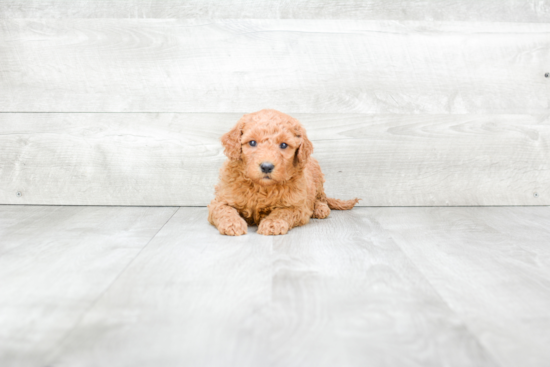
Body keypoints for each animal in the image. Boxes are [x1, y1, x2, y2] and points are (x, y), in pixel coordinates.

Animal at [209, 108, 360, 236]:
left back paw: (320, 208)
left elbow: (283, 212)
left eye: (283, 145)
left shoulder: (298, 206)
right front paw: (232, 224)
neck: (262, 188)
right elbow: (224, 210)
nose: (266, 167)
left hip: (317, 176)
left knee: (320, 198)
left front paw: (272, 223)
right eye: (252, 143)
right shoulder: (220, 200)